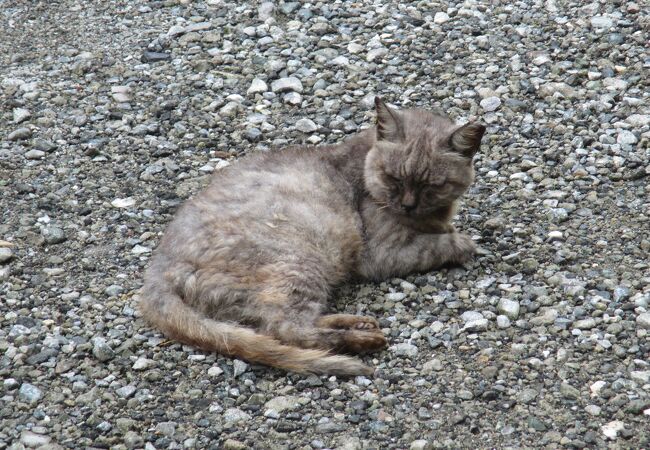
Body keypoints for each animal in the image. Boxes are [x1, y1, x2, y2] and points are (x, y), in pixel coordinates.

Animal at [139, 98, 484, 376]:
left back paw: (357, 323)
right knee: (288, 329)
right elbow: (443, 244)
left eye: (433, 185)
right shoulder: (382, 252)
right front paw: (463, 243)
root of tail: (157, 270)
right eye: (393, 178)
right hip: (300, 261)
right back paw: (362, 338)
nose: (408, 205)